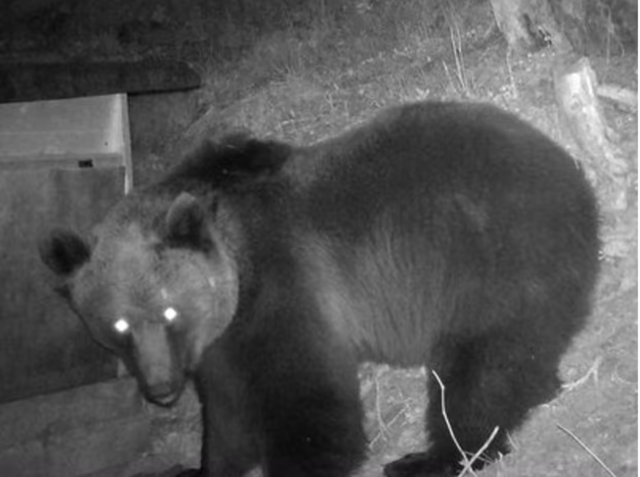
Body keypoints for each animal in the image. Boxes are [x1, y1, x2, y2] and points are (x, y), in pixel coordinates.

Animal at [39, 101, 600, 477]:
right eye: (118, 324)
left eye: (171, 312)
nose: (159, 389)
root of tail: (571, 173)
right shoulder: (222, 345)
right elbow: (227, 417)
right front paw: (198, 465)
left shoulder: (286, 289)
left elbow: (309, 404)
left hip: (487, 262)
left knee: (478, 369)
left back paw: (432, 456)